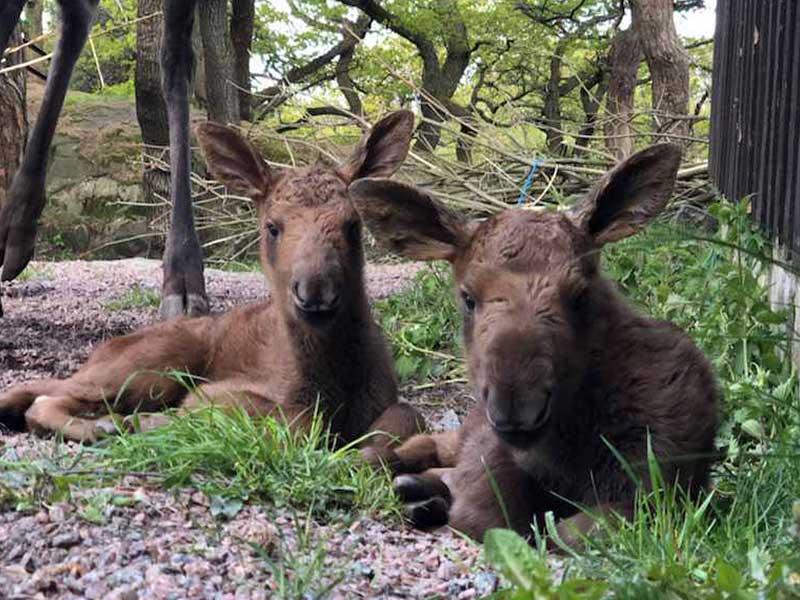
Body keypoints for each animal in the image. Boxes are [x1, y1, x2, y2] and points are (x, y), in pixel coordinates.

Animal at [0, 111, 424, 450]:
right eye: (272, 227)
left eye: (353, 225)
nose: (315, 293)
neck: (334, 387)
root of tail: (100, 351)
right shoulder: (225, 392)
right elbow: (292, 423)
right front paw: (154, 422)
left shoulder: (389, 399)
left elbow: (408, 415)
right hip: (154, 364)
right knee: (47, 400)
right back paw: (106, 426)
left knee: (40, 390)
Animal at [350, 145, 720, 548]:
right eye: (468, 297)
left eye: (580, 294)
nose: (517, 409)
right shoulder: (492, 457)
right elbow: (488, 514)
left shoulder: (652, 491)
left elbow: (562, 533)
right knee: (423, 443)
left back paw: (418, 495)